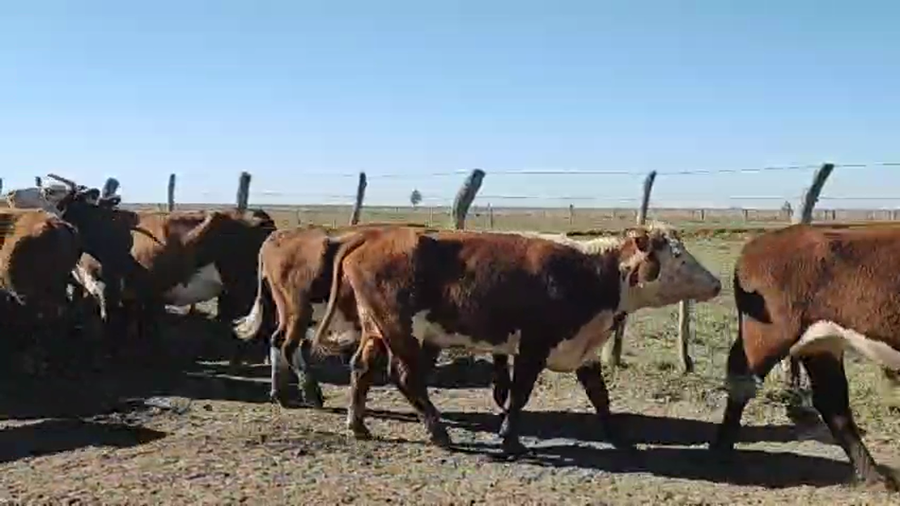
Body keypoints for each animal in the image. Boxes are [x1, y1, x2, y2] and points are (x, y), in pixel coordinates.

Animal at [309, 224, 721, 454]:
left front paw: (620, 437)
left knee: (361, 369)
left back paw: (358, 425)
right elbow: (519, 395)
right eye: (679, 257)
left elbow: (600, 397)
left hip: (375, 329)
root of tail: (372, 236)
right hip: (401, 330)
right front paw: (509, 438)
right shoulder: (532, 346)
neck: (593, 272)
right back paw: (438, 431)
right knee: (406, 377)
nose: (717, 284)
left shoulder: (584, 350)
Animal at [711, 223, 900, 491]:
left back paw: (873, 475)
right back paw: (721, 453)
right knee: (741, 381)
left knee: (833, 403)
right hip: (767, 336)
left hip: (821, 342)